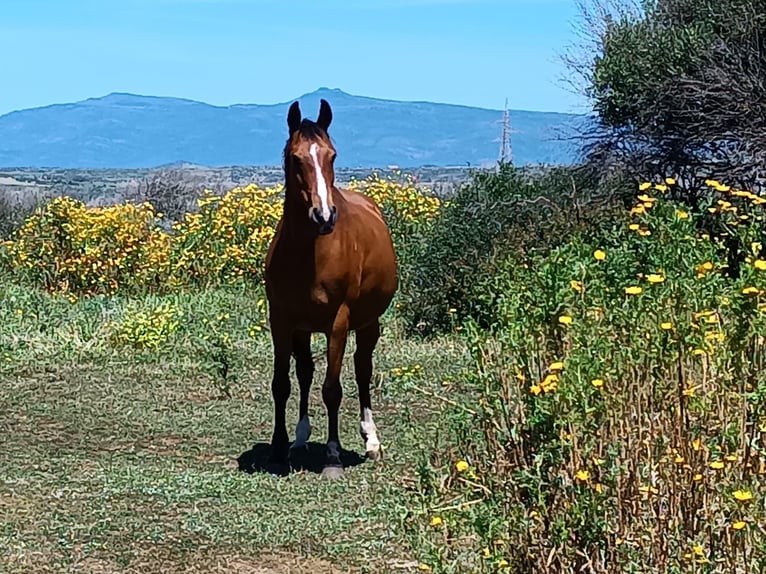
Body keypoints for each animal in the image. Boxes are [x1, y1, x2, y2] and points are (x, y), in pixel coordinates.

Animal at [264, 99, 400, 482]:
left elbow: (332, 389)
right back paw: (299, 440)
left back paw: (371, 442)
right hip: (303, 328)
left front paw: (333, 458)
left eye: (332, 156)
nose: (324, 216)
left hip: (368, 325)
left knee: (363, 369)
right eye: (295, 158)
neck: (309, 256)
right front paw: (279, 450)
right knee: (305, 372)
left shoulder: (338, 323)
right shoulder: (281, 321)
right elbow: (282, 384)